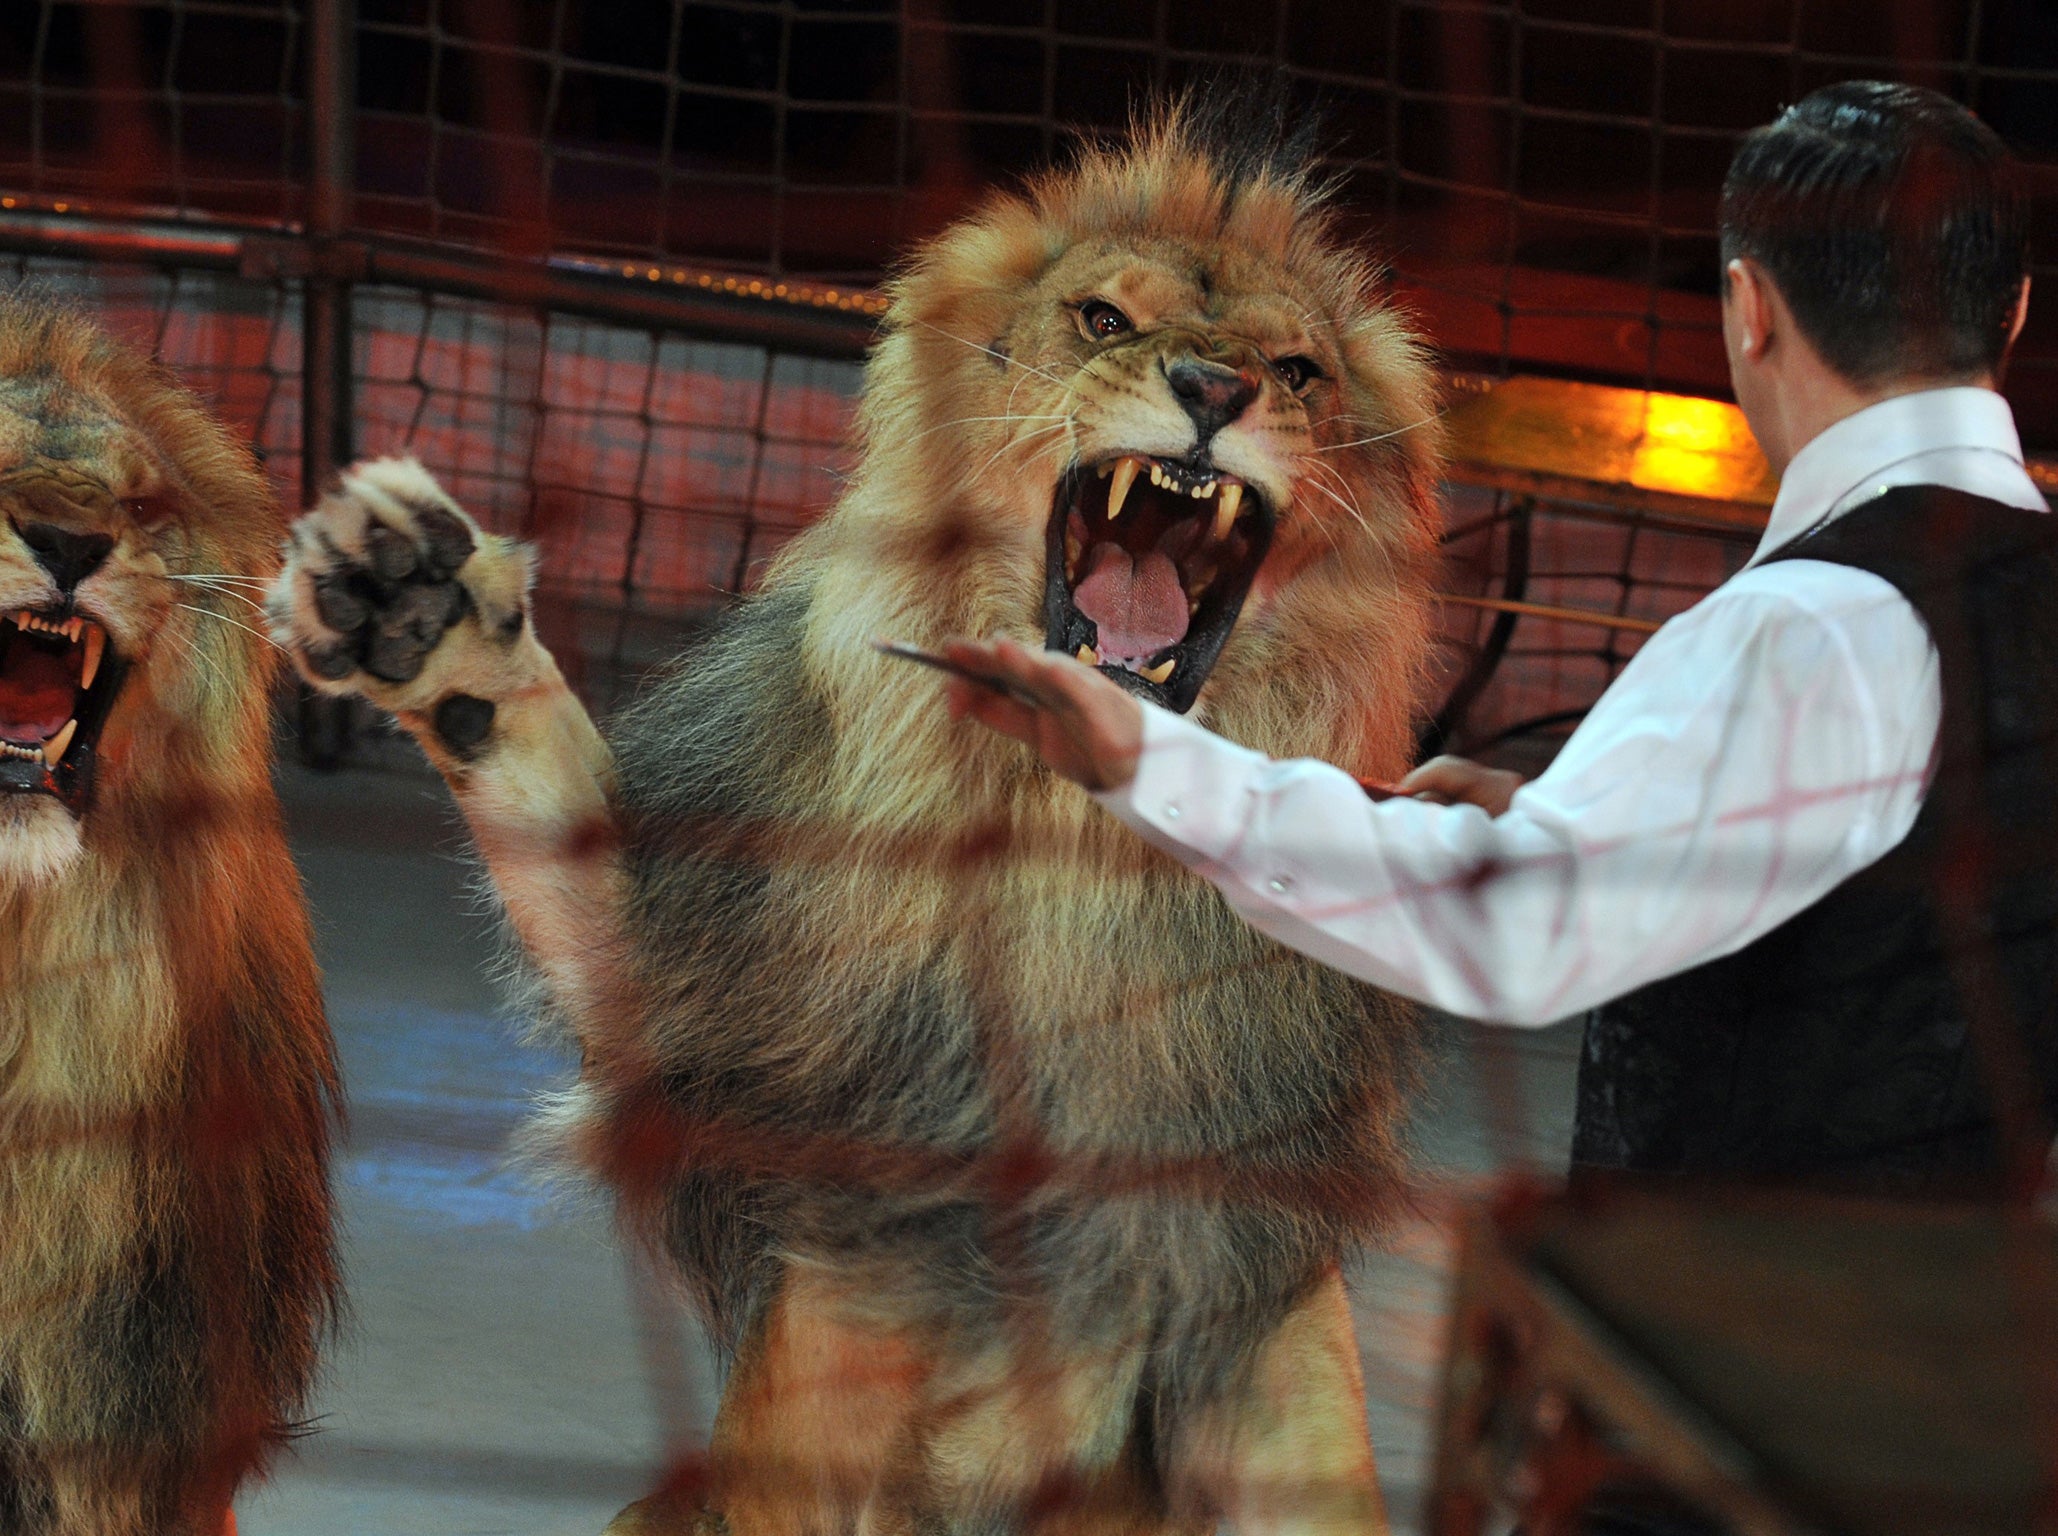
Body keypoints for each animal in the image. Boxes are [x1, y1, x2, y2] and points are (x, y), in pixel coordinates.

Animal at [269, 95, 1432, 1531]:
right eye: (1104, 319)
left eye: (1297, 369)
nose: (1217, 392)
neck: (1074, 847)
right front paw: (426, 614)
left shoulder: (1258, 1318)